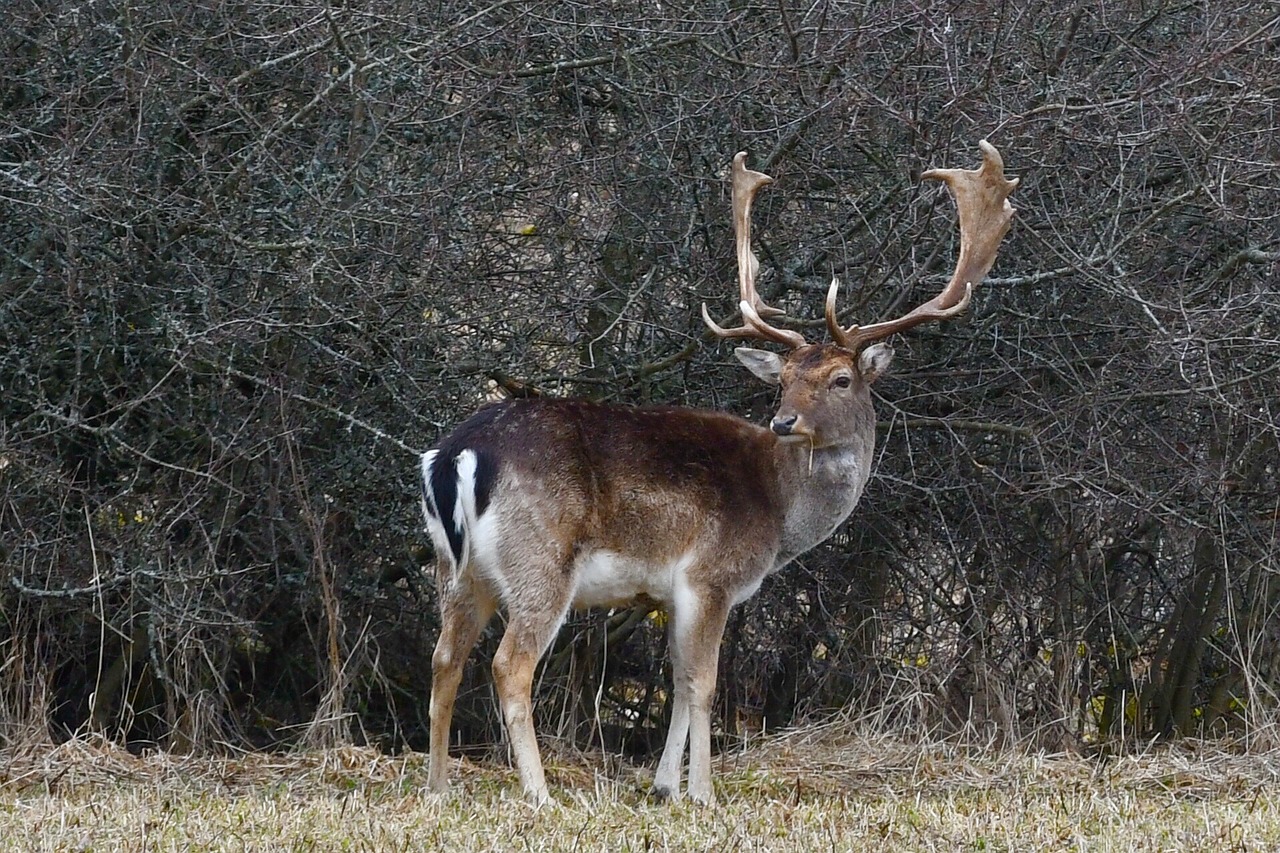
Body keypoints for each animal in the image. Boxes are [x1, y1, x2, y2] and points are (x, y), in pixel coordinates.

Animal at [419, 141, 1017, 805]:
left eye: (840, 379)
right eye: (784, 379)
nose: (784, 421)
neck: (779, 516)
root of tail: (454, 456)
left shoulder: (669, 593)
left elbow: (679, 684)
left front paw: (665, 787)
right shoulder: (711, 574)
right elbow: (703, 684)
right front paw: (703, 792)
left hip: (458, 569)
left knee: (443, 659)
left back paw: (438, 786)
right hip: (540, 559)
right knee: (507, 665)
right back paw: (540, 793)